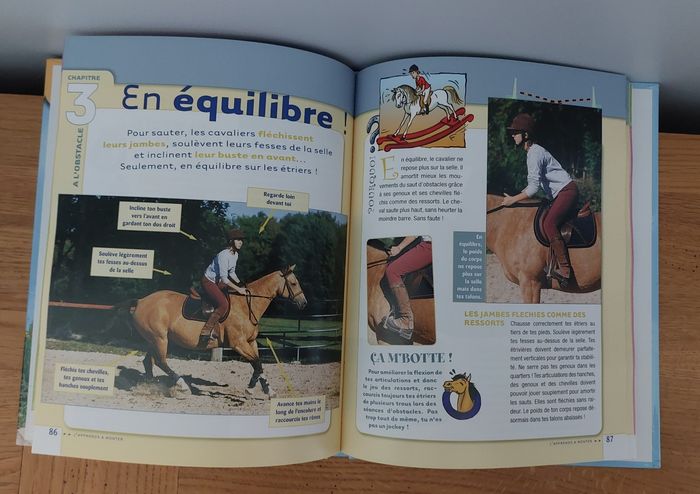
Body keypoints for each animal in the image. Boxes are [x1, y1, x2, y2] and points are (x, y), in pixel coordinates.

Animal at [125, 265, 307, 398]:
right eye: (294, 283)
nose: (304, 303)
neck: (246, 306)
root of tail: (141, 301)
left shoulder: (251, 342)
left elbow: (258, 365)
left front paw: (268, 390)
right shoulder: (238, 344)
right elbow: (257, 364)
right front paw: (250, 388)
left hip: (153, 340)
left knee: (148, 362)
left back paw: (149, 386)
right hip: (160, 339)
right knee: (161, 362)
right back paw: (182, 385)